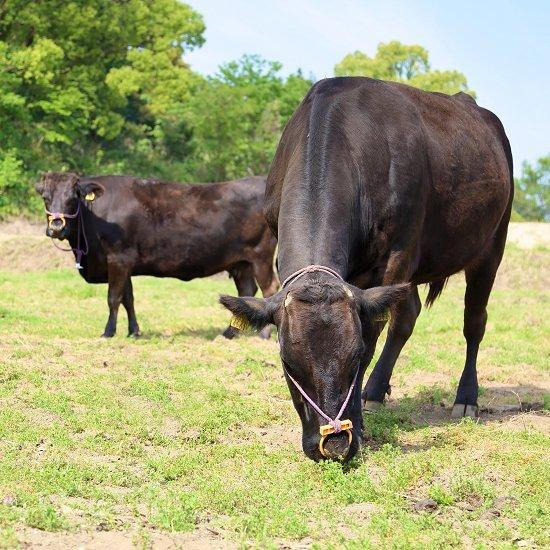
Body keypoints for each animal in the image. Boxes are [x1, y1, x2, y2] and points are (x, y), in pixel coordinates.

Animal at [37, 172, 280, 338]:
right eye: (45, 197)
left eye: (73, 197)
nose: (56, 227)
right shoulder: (125, 264)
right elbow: (128, 299)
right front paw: (134, 331)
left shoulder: (118, 258)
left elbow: (113, 298)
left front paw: (108, 331)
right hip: (241, 262)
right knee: (246, 291)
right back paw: (229, 333)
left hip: (261, 256)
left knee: (270, 289)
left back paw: (264, 334)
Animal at [222, 77, 516, 464]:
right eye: (287, 362)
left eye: (355, 355)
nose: (332, 442)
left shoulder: (396, 256)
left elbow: (374, 332)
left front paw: (358, 426)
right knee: (408, 316)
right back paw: (375, 391)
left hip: (492, 245)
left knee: (474, 322)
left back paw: (466, 398)